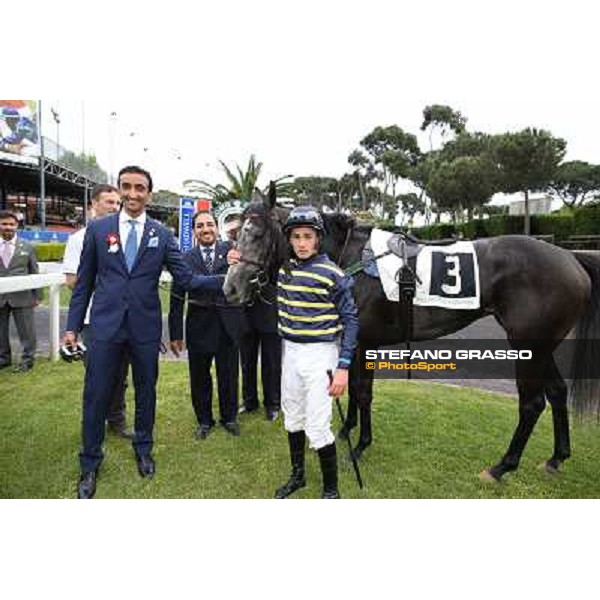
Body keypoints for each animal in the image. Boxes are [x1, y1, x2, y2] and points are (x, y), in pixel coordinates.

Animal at [225, 188, 600, 482]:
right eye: (236, 235)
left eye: (257, 234)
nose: (231, 287)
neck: (350, 261)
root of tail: (570, 257)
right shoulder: (357, 343)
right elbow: (353, 390)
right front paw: (347, 431)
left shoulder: (365, 343)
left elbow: (362, 392)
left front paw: (359, 446)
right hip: (542, 347)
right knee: (557, 392)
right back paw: (555, 458)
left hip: (528, 347)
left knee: (532, 403)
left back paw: (501, 466)